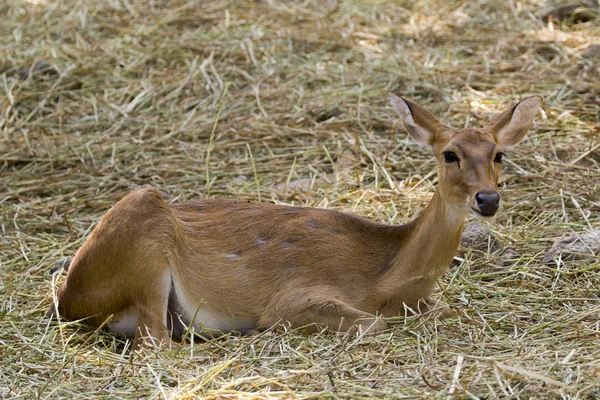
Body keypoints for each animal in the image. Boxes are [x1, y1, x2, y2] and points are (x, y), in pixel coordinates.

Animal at [48, 94, 544, 350]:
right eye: (449, 153)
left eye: (499, 154)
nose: (488, 199)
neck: (382, 278)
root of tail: (67, 297)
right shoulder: (295, 296)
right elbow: (372, 324)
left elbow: (445, 308)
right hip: (145, 234)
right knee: (155, 344)